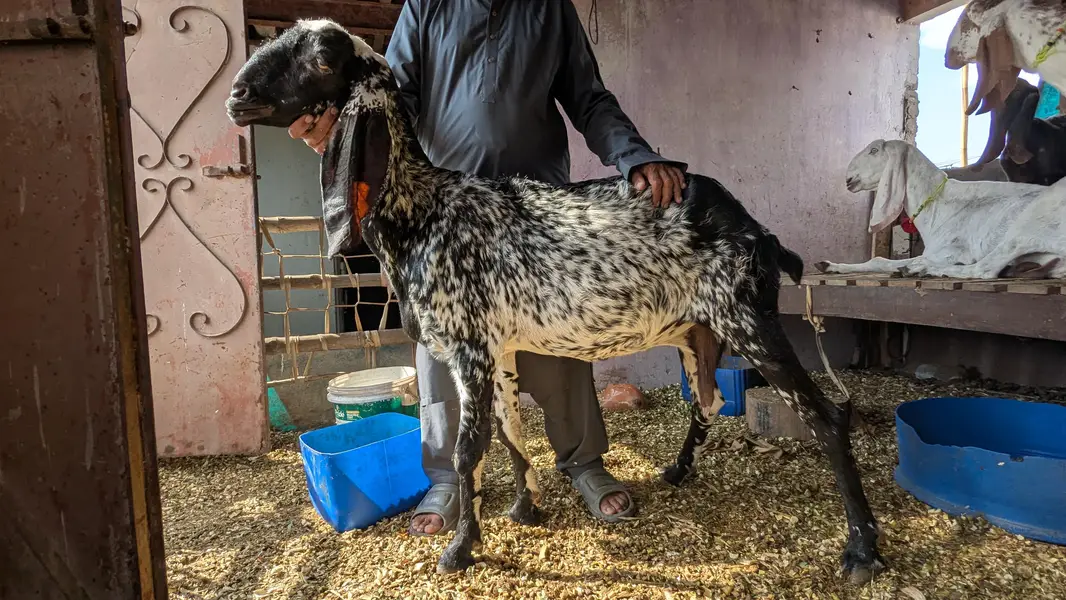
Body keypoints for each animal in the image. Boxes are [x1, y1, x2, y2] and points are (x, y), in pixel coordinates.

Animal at [816, 139, 1066, 279]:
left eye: (874, 150)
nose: (848, 178)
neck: (937, 203)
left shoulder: (951, 250)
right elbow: (880, 261)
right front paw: (830, 265)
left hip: (1028, 225)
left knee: (984, 269)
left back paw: (922, 270)